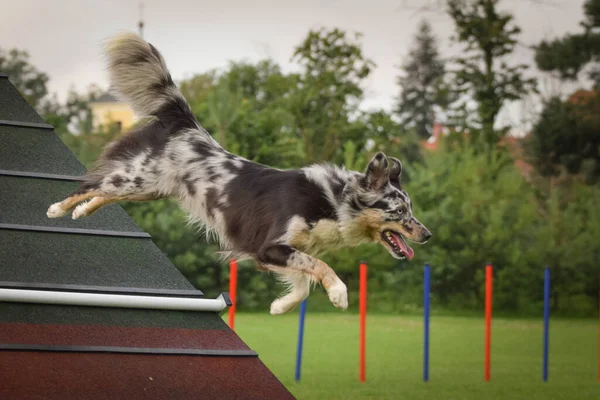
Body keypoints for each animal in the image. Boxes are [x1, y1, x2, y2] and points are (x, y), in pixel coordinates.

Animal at [47, 33, 432, 316]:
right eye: (399, 211)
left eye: (411, 210)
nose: (427, 234)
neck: (333, 200)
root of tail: (187, 124)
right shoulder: (271, 245)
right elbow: (319, 267)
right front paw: (338, 293)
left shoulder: (273, 251)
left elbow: (303, 282)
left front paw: (280, 306)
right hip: (138, 179)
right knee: (89, 184)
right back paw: (58, 208)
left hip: (149, 189)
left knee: (103, 191)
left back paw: (82, 212)